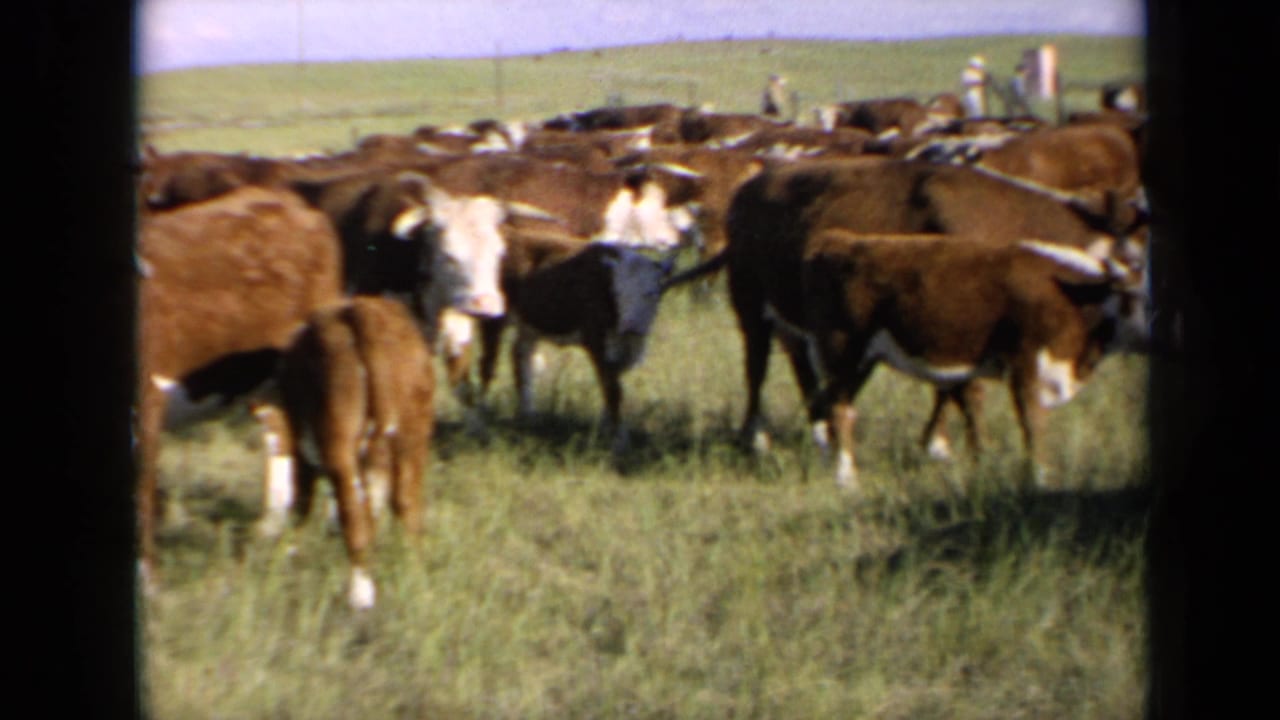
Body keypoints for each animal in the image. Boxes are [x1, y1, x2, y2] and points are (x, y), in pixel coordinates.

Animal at [259, 296, 435, 610]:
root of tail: (360, 312)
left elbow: (301, 501)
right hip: (413, 435)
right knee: (407, 506)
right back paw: (416, 582)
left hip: (338, 441)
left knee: (353, 512)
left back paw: (360, 595)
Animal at [800, 232, 1148, 489]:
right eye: (1141, 296)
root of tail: (839, 241)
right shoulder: (1024, 367)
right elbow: (1033, 425)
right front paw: (1040, 481)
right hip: (843, 349)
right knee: (840, 409)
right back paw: (846, 478)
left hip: (861, 359)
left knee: (832, 405)